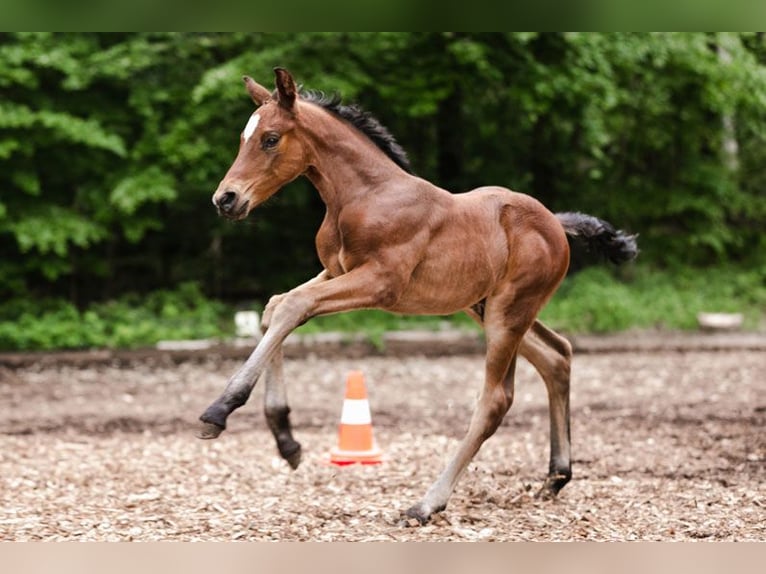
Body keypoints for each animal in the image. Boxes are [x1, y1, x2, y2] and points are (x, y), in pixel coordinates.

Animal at [196, 68, 636, 528]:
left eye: (270, 138)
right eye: (244, 138)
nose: (225, 199)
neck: (363, 196)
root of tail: (554, 222)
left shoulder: (379, 282)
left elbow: (293, 308)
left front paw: (220, 410)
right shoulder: (336, 272)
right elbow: (276, 307)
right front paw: (286, 440)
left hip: (508, 312)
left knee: (496, 399)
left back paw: (427, 504)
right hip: (487, 307)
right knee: (557, 354)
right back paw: (555, 477)